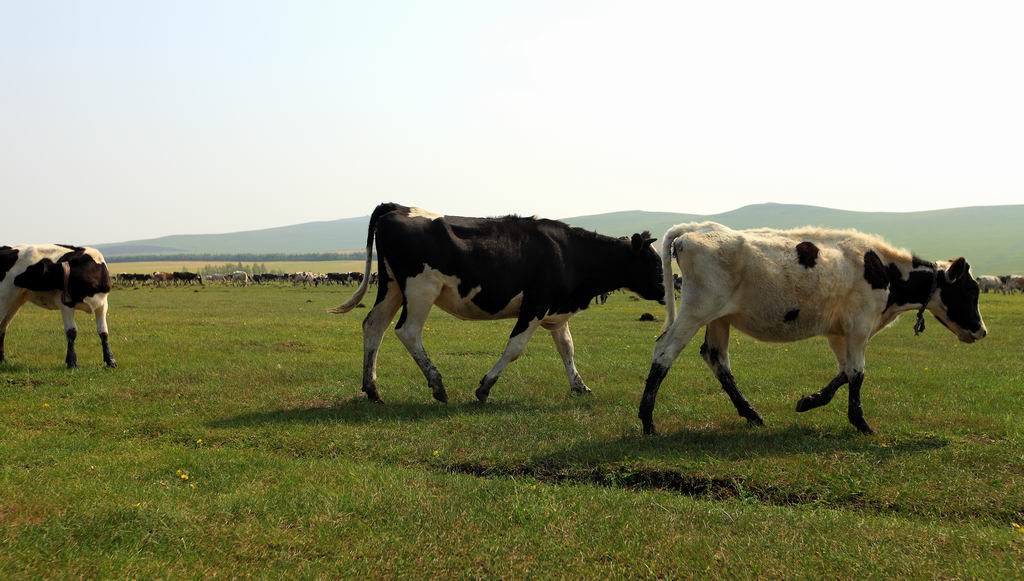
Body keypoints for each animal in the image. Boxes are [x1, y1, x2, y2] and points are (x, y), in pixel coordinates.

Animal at [329, 204, 663, 403]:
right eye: (653, 262)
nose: (664, 290)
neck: (570, 253)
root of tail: (398, 208)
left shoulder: (556, 312)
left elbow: (567, 348)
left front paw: (579, 386)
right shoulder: (535, 306)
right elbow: (514, 348)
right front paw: (484, 387)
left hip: (392, 287)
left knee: (374, 325)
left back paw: (372, 389)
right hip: (421, 289)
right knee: (408, 331)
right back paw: (437, 384)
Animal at [638, 222, 983, 436]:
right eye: (969, 290)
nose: (982, 332)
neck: (883, 268)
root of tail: (694, 229)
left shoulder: (838, 332)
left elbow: (844, 373)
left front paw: (809, 401)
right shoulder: (859, 327)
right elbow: (857, 373)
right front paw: (861, 422)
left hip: (719, 318)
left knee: (717, 359)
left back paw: (751, 413)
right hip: (697, 310)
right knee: (664, 351)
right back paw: (647, 420)